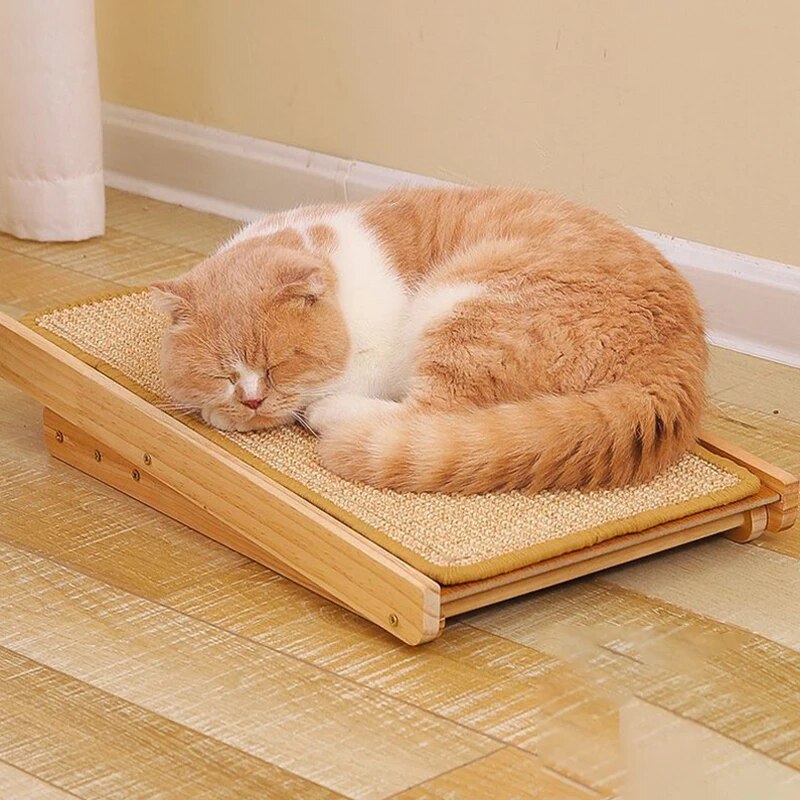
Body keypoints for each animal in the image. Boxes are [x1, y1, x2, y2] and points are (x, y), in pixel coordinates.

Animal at [151, 186, 707, 494]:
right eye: (222, 373)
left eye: (281, 364)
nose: (252, 399)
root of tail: (678, 360)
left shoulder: (381, 358)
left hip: (462, 305)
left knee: (429, 414)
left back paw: (333, 418)